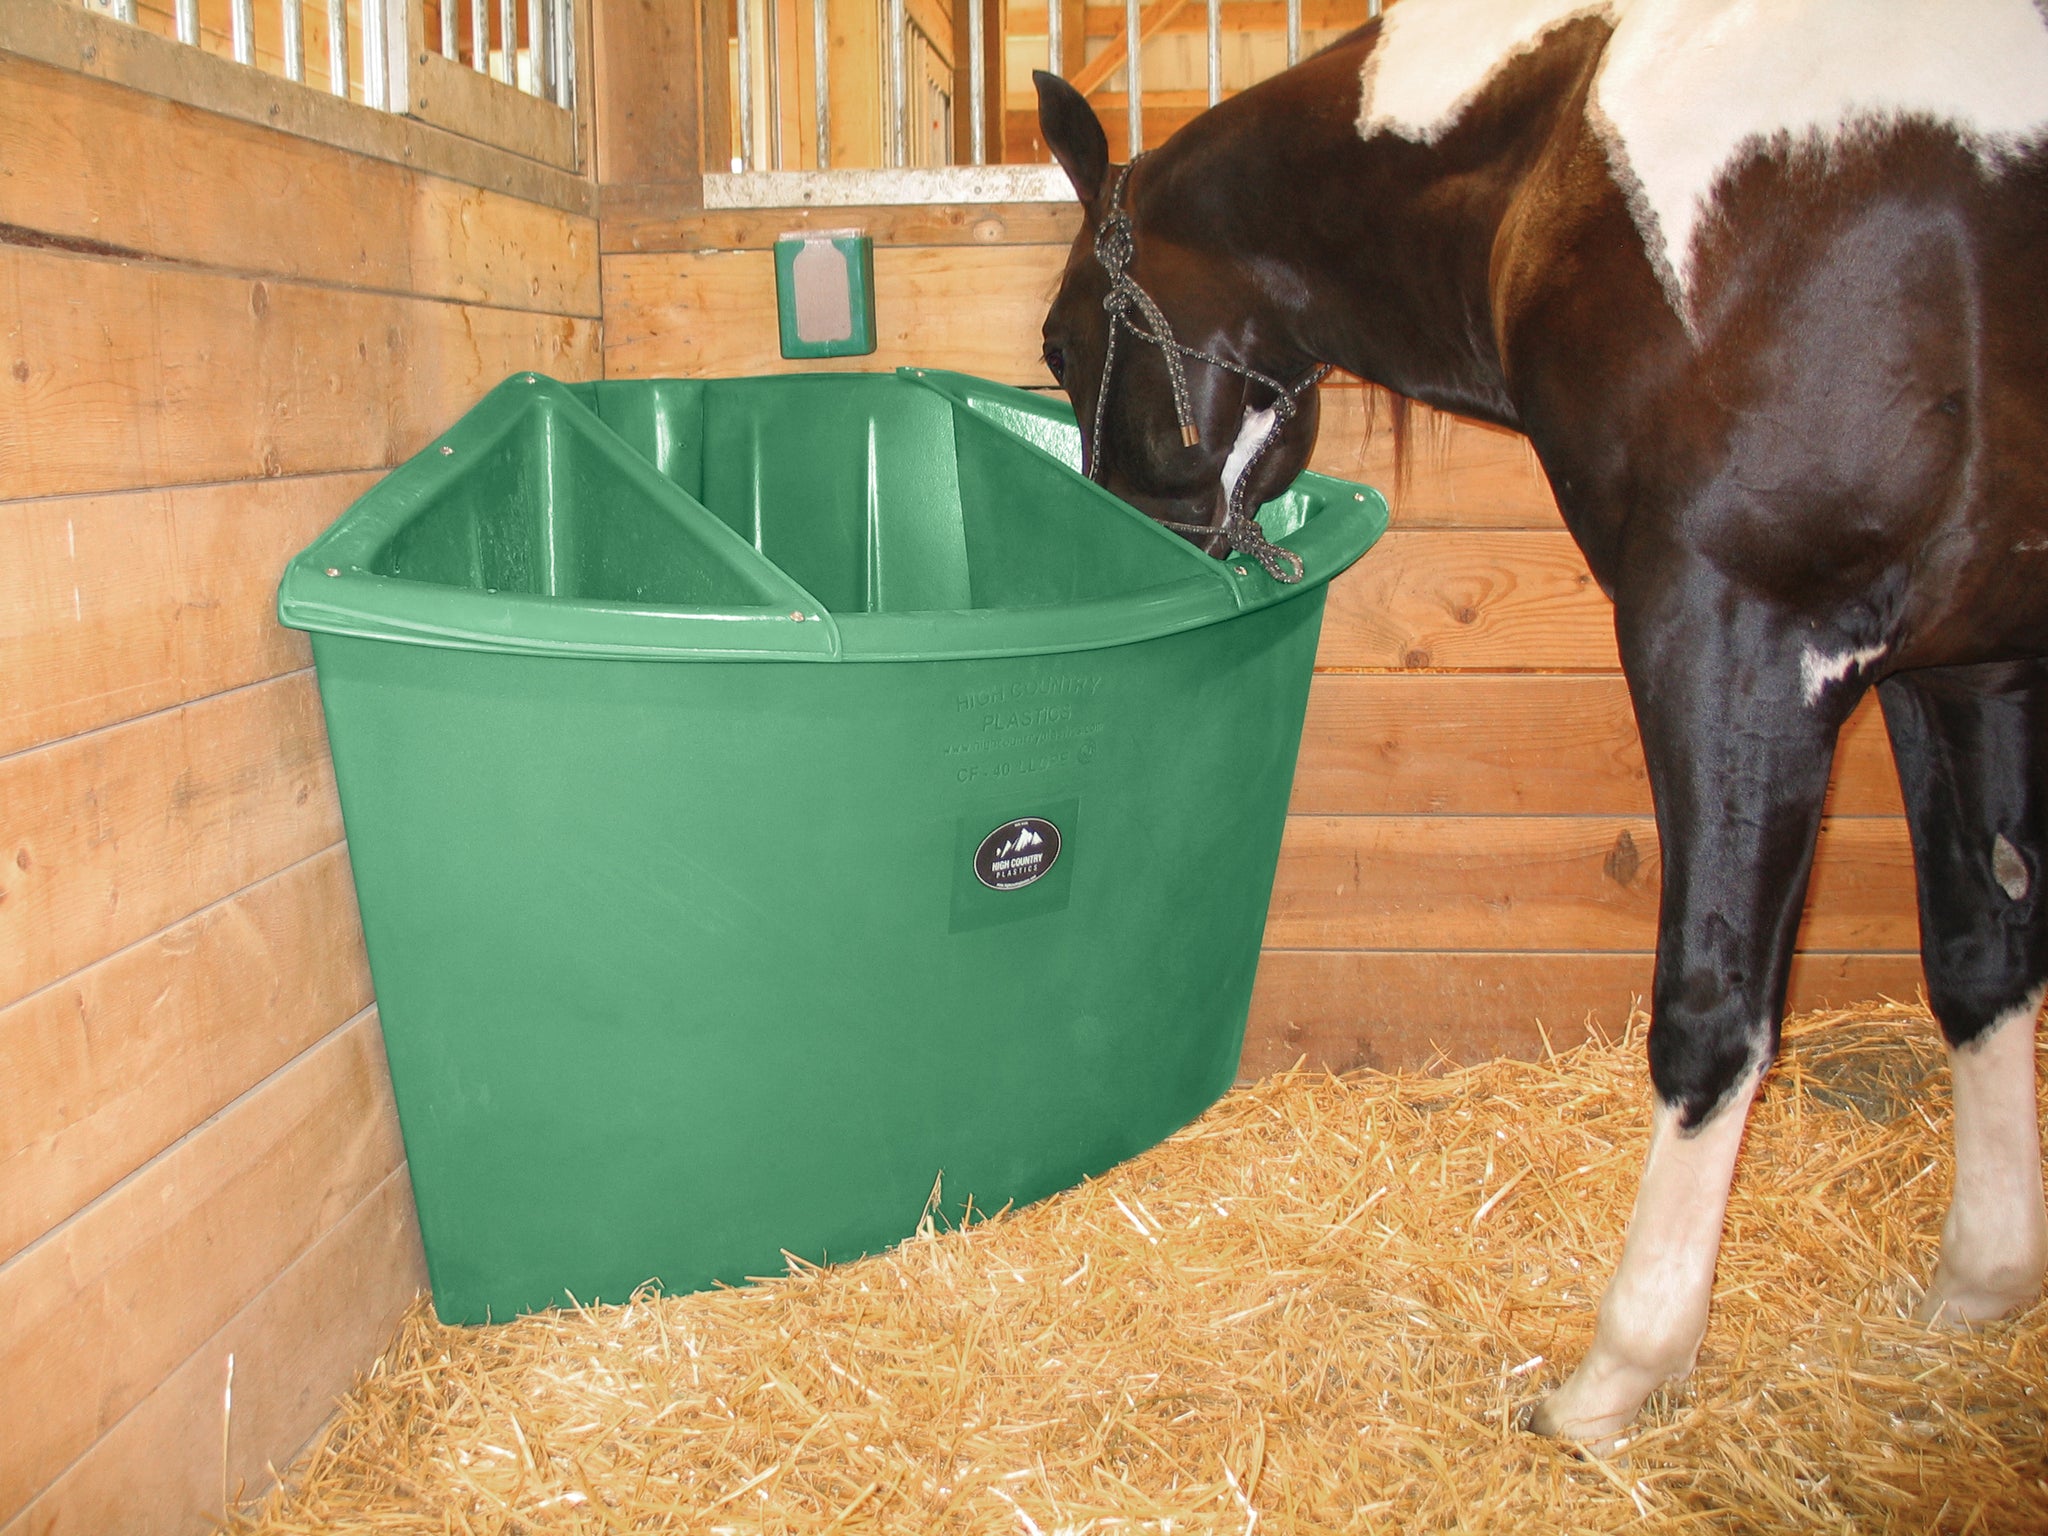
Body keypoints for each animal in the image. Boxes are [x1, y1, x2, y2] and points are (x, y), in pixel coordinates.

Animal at [1033, 0, 2048, 1445]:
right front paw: (1978, 1288)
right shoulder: (1962, 662)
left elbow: (1711, 1009)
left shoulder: (1741, 633)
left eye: (1062, 345)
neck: (1574, 169)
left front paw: (1616, 1376)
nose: (1150, 552)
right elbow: (1979, 950)